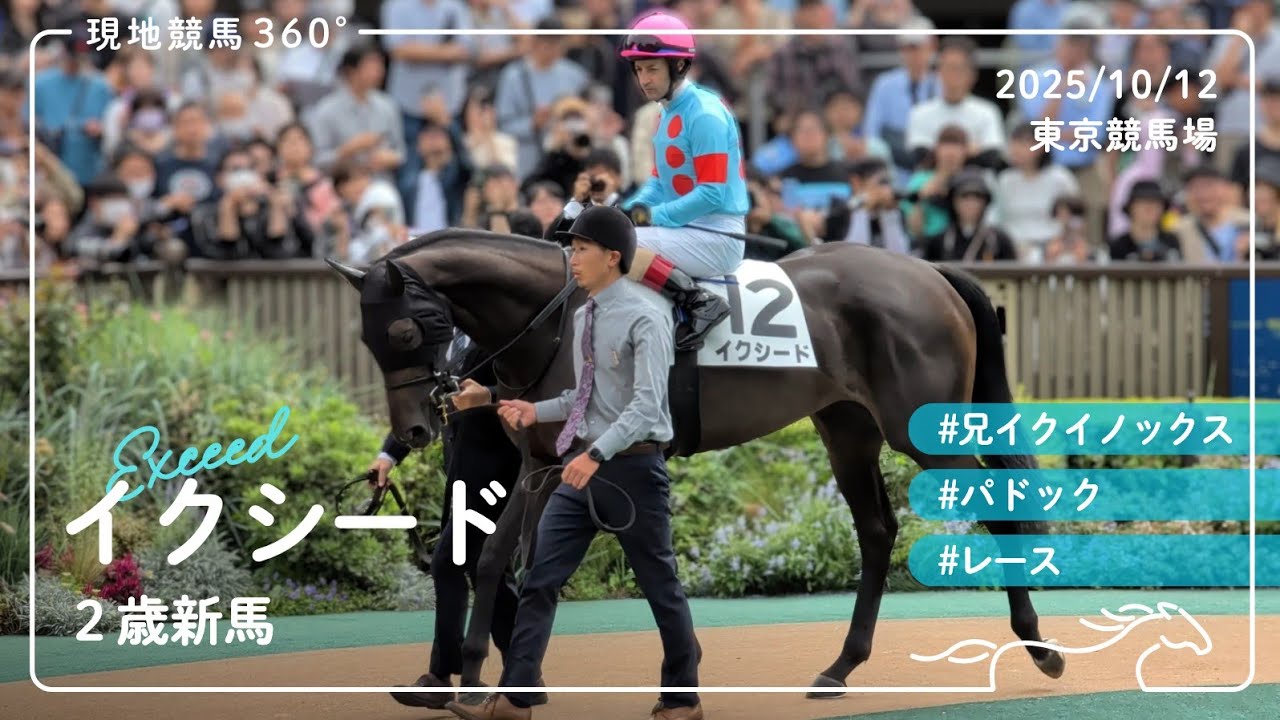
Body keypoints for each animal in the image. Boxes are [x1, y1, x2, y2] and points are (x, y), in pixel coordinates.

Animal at [326, 227, 1067, 697]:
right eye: (366, 338)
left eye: (402, 331)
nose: (415, 428)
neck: (557, 317)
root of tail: (928, 271)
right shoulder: (539, 464)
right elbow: (497, 562)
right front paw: (479, 674)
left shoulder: (573, 459)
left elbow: (532, 565)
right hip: (846, 427)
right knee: (877, 529)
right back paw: (840, 666)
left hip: (924, 427)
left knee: (995, 512)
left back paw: (1038, 646)